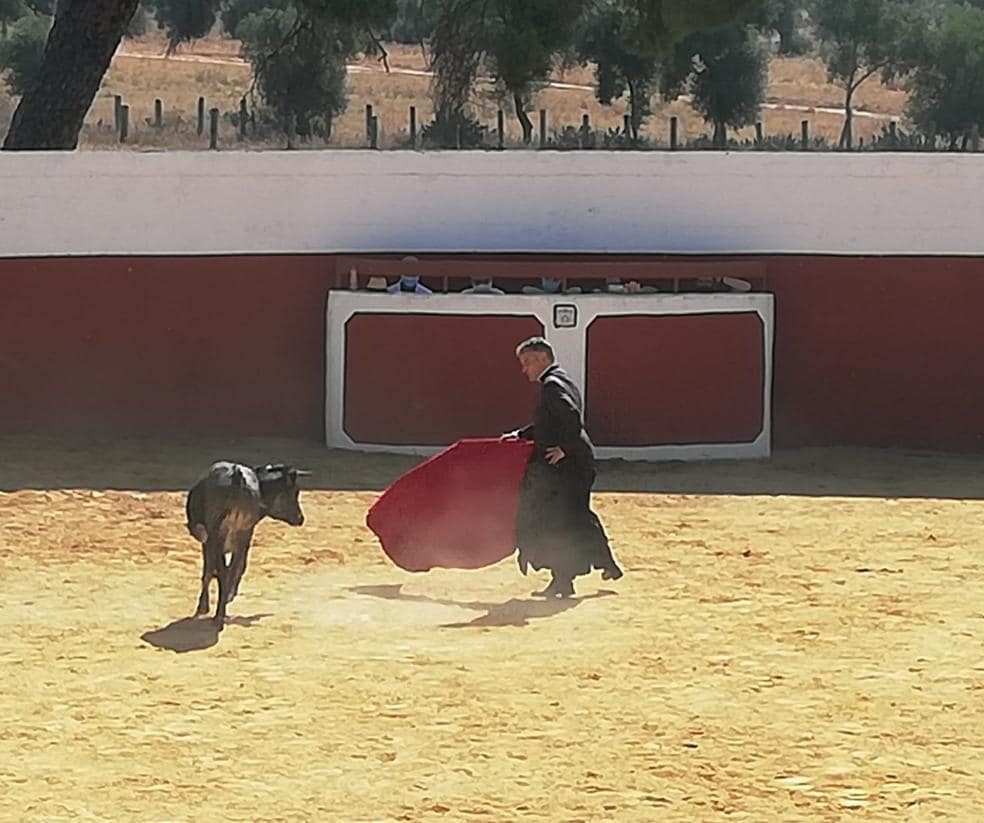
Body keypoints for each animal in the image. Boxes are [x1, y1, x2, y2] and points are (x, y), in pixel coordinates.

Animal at [184, 460, 308, 628]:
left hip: (226, 534)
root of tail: (236, 476)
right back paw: (220, 612)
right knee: (228, 568)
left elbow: (211, 569)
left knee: (226, 570)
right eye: (294, 492)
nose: (300, 518)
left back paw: (220, 614)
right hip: (232, 533)